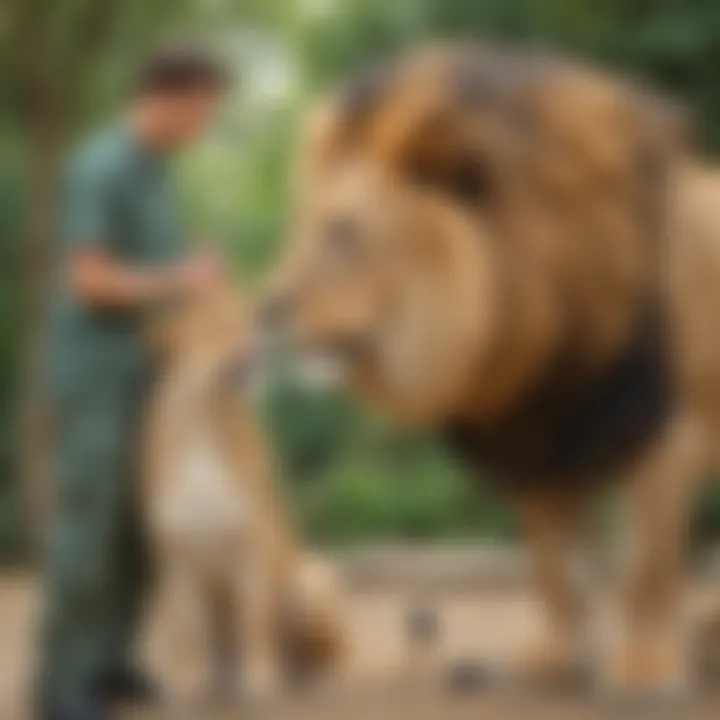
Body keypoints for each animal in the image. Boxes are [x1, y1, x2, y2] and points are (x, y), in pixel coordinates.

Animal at [142, 284, 344, 700]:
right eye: (219, 325)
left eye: (247, 321)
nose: (259, 340)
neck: (204, 420)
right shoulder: (177, 555)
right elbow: (192, 627)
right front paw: (191, 682)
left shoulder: (251, 543)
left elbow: (254, 619)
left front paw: (258, 681)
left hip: (314, 578)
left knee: (331, 651)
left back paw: (312, 678)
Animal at [262, 43, 720, 696]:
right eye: (301, 230)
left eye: (343, 233)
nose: (266, 309)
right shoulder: (540, 437)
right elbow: (553, 567)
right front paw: (552, 661)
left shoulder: (661, 433)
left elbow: (645, 569)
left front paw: (644, 671)